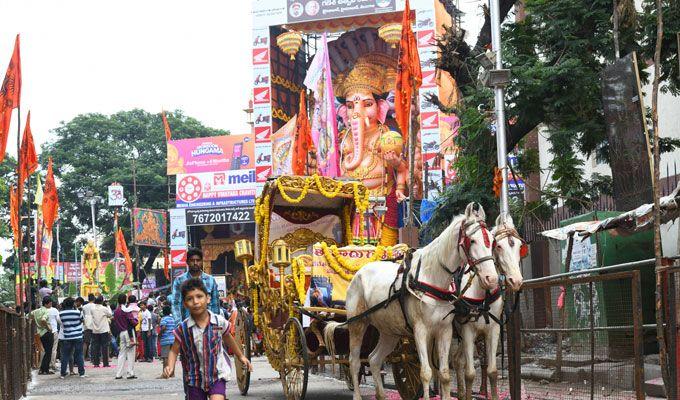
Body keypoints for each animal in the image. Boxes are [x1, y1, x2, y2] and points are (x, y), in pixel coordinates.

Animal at [324, 203, 500, 400]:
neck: (432, 276)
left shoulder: (445, 330)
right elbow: (426, 372)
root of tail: (359, 272)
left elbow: (444, 374)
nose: (492, 279)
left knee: (374, 359)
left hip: (389, 331)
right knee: (354, 362)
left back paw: (381, 394)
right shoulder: (420, 330)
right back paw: (357, 393)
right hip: (357, 324)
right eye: (473, 241)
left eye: (492, 242)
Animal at [454, 216, 528, 400]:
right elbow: (470, 374)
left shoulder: (493, 330)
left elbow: (492, 371)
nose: (516, 281)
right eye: (498, 246)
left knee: (457, 361)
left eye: (519, 246)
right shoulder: (468, 331)